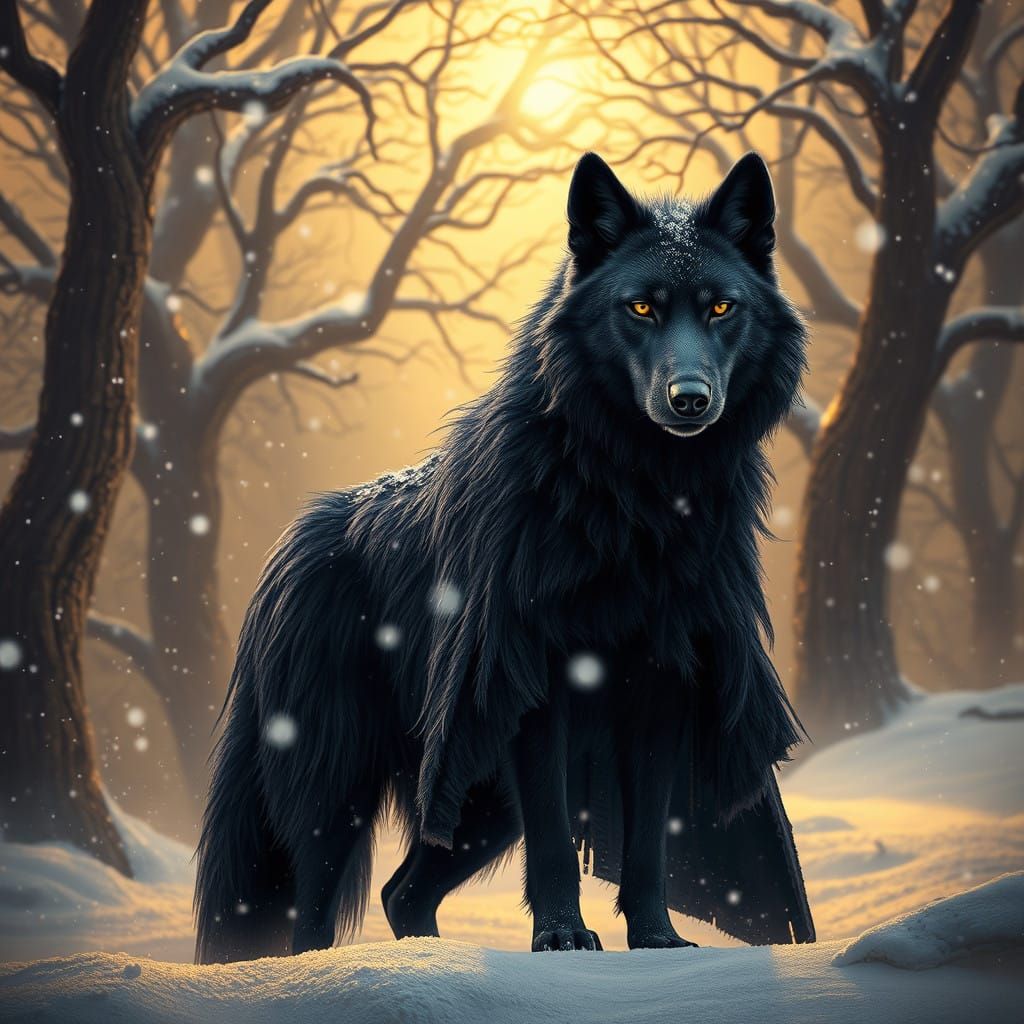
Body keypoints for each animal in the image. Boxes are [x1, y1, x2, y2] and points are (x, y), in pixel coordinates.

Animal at [194, 151, 814, 962]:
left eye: (720, 309)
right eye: (640, 309)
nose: (690, 399)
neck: (636, 502)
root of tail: (294, 543)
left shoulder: (661, 691)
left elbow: (648, 840)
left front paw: (657, 941)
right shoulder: (532, 684)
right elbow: (554, 842)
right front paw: (561, 938)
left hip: (478, 797)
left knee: (402, 892)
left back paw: (430, 958)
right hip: (350, 791)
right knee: (312, 916)